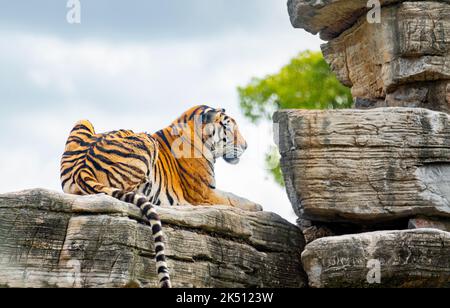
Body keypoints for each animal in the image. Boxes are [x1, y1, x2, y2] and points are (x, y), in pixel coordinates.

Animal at [61, 106, 262, 288]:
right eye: (229, 127)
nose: (245, 146)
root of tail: (81, 168)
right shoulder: (204, 193)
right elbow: (234, 198)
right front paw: (258, 207)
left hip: (83, 121)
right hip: (146, 140)